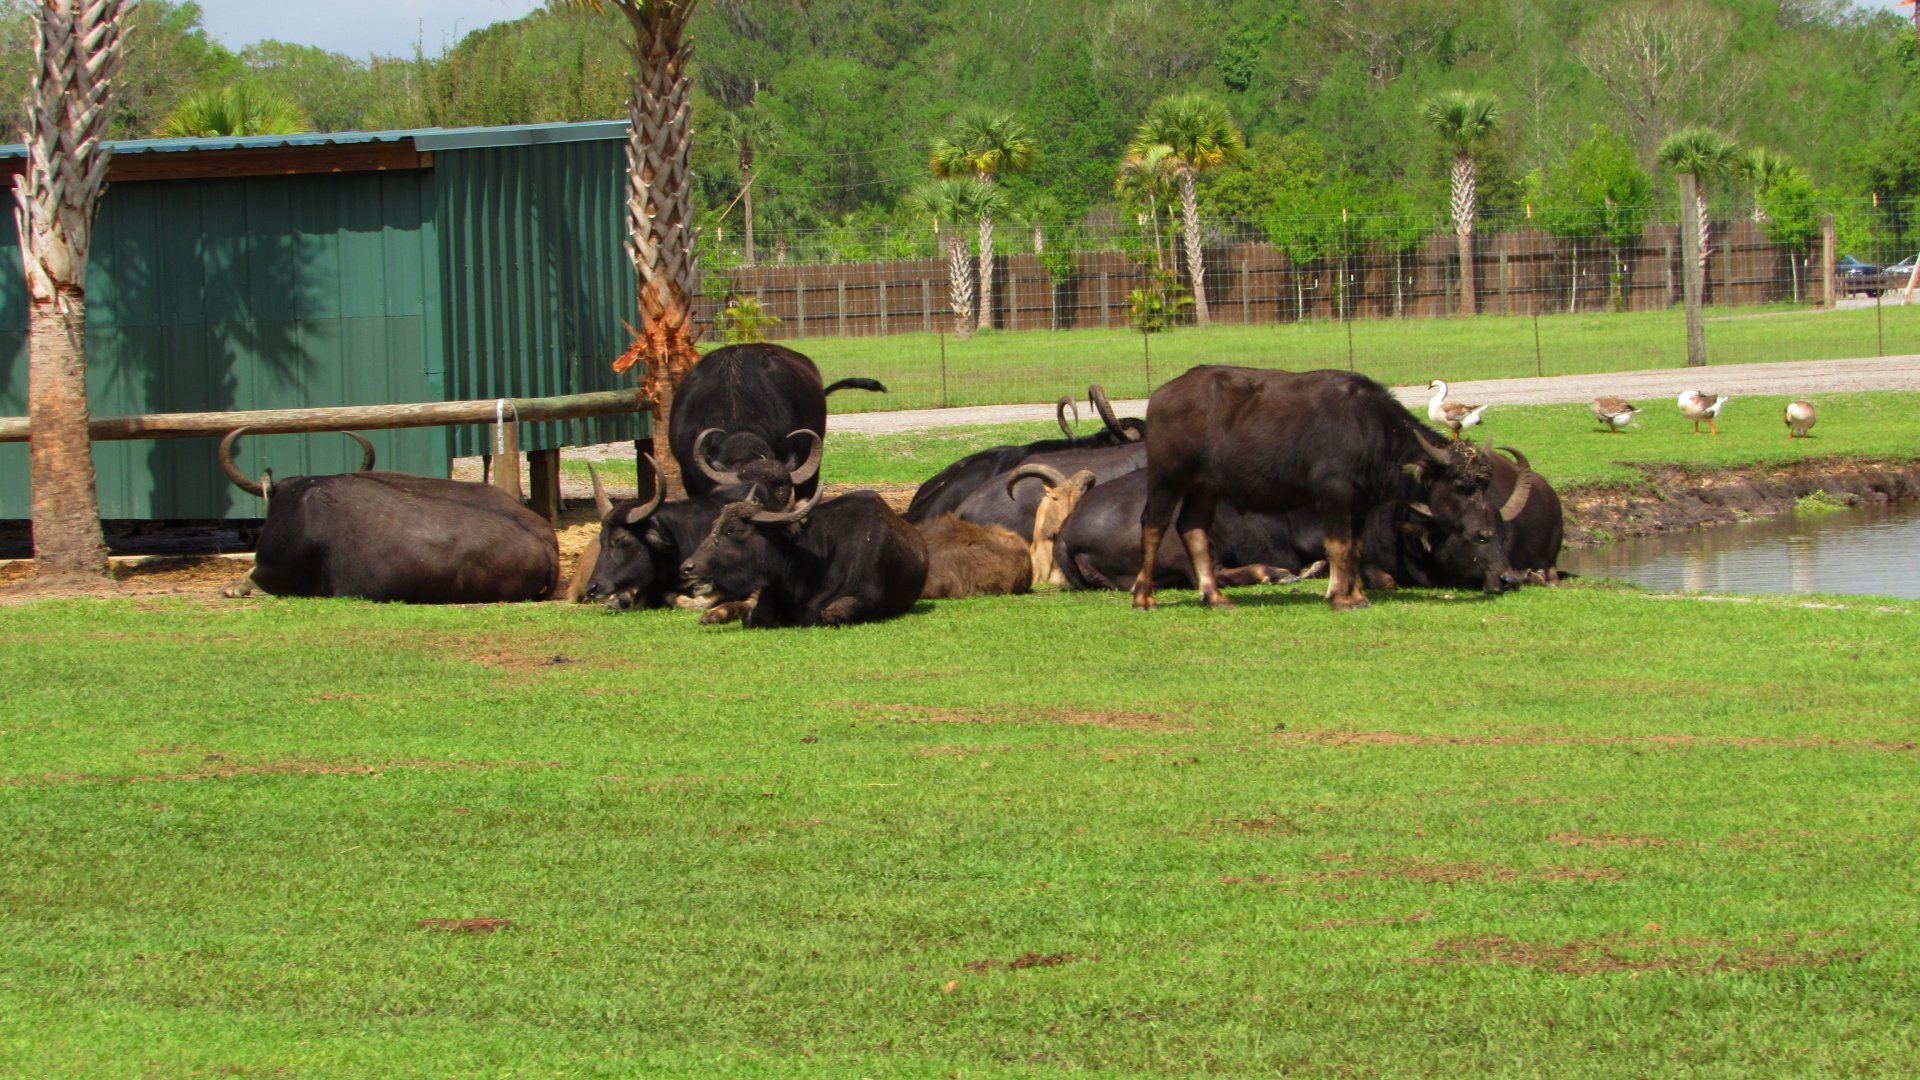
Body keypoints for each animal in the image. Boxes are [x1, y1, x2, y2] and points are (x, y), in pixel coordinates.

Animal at [681, 489, 928, 629]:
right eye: (714, 525)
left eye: (732, 530)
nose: (687, 567)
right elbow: (755, 616)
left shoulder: (868, 599)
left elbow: (828, 614)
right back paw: (713, 615)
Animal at [1132, 366, 1519, 610]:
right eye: (1460, 484)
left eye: (1484, 483)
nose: (1484, 531)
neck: (1371, 433)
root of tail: (1161, 396)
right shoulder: (1333, 495)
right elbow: (1338, 545)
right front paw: (1340, 597)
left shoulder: (1360, 504)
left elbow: (1355, 548)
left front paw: (1357, 594)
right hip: (1168, 476)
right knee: (1153, 525)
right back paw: (1143, 596)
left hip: (1205, 487)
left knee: (1192, 528)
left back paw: (1214, 597)